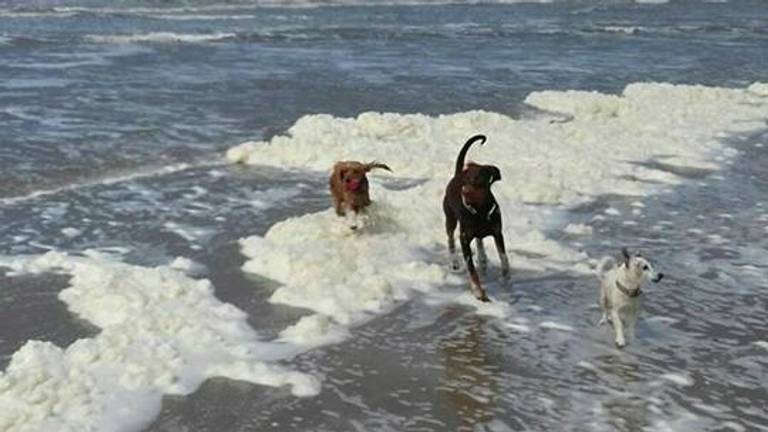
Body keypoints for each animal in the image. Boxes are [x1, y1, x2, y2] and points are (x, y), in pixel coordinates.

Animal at [444, 134, 510, 300]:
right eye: (466, 179)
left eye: (479, 177)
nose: (464, 190)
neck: (480, 211)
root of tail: (456, 174)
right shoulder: (464, 239)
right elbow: (471, 269)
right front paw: (478, 291)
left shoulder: (497, 232)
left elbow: (504, 257)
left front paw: (506, 276)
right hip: (450, 218)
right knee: (450, 238)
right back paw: (454, 261)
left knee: (480, 240)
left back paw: (482, 257)